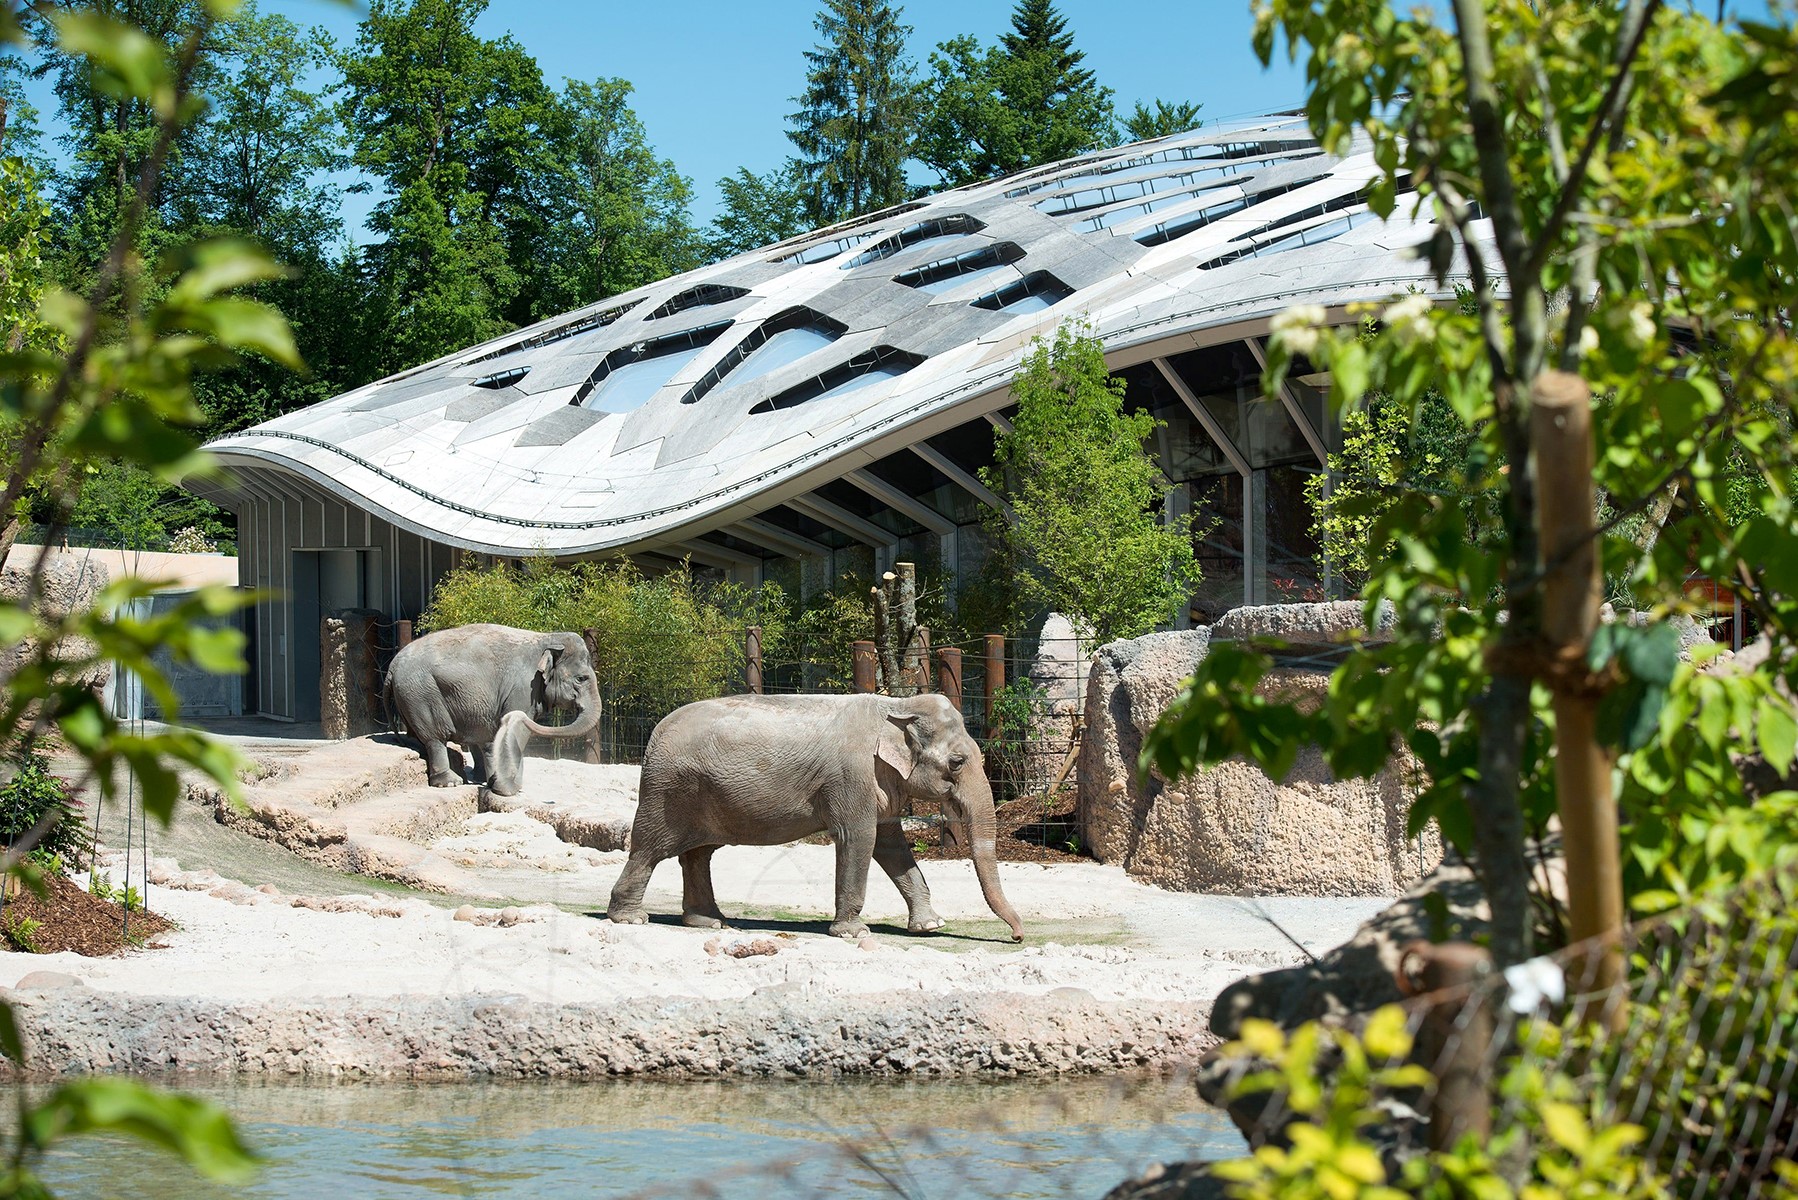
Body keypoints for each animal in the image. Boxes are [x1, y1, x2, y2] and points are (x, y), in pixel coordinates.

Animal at [382, 618, 600, 798]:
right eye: (581, 678)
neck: (548, 638)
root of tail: (392, 667)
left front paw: (493, 783)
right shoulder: (523, 689)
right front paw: (507, 790)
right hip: (421, 694)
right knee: (435, 737)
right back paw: (451, 783)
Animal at [607, 690, 1021, 942]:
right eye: (957, 762)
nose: (1016, 936)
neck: (897, 703)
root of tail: (654, 734)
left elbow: (891, 846)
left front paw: (931, 926)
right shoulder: (852, 778)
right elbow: (860, 839)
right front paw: (854, 933)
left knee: (698, 854)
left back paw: (710, 923)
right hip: (668, 792)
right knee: (650, 849)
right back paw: (630, 919)